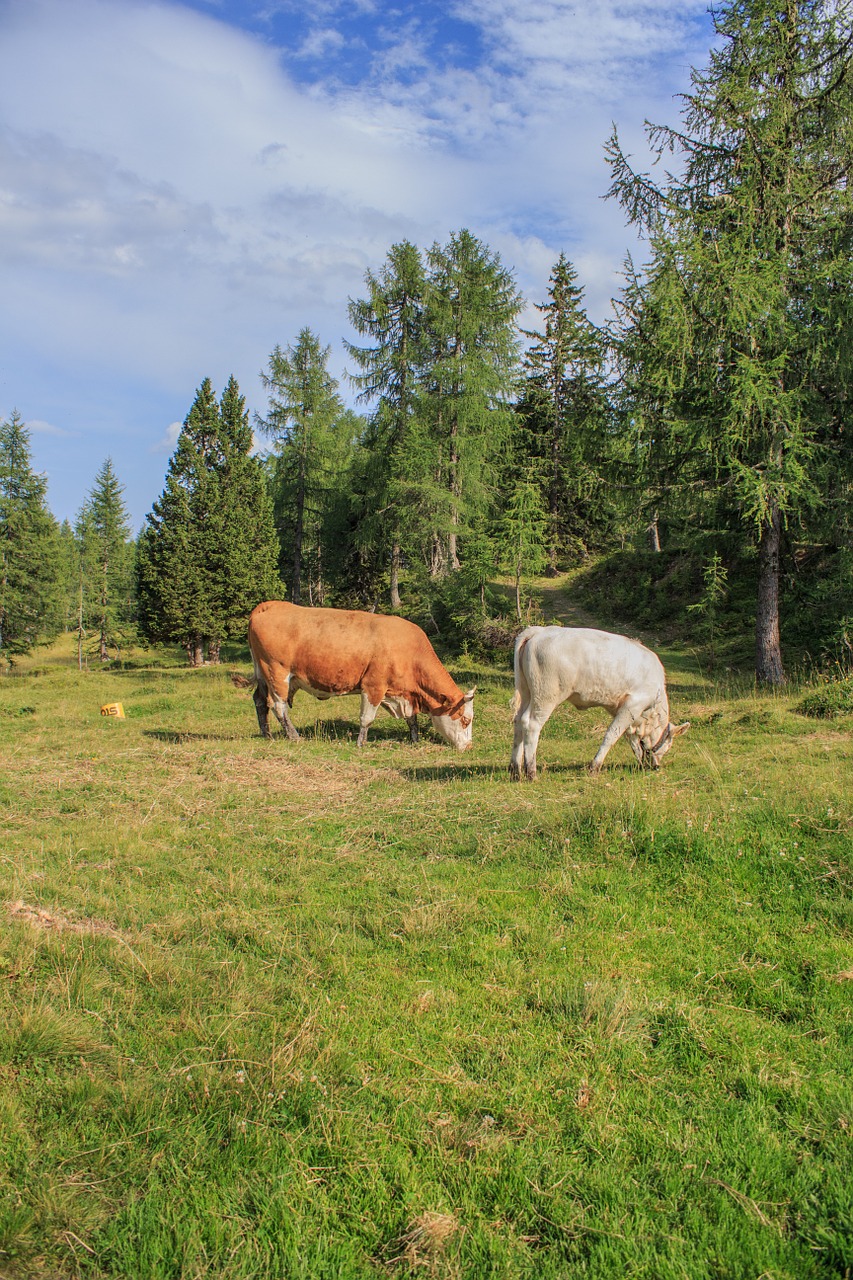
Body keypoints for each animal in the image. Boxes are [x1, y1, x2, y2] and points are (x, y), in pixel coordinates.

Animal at [245, 599, 473, 747]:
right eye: (465, 719)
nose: (469, 746)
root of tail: (270, 605)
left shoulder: (404, 694)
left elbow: (412, 719)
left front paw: (414, 740)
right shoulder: (373, 686)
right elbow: (366, 718)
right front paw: (361, 743)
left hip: (265, 674)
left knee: (260, 701)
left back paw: (267, 734)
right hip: (276, 672)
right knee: (278, 706)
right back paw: (294, 736)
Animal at [507, 622, 686, 773]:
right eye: (669, 745)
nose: (656, 766)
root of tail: (539, 631)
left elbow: (632, 740)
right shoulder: (633, 705)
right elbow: (612, 734)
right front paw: (594, 766)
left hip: (527, 692)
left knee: (518, 721)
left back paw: (515, 769)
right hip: (545, 696)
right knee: (531, 724)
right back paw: (531, 772)